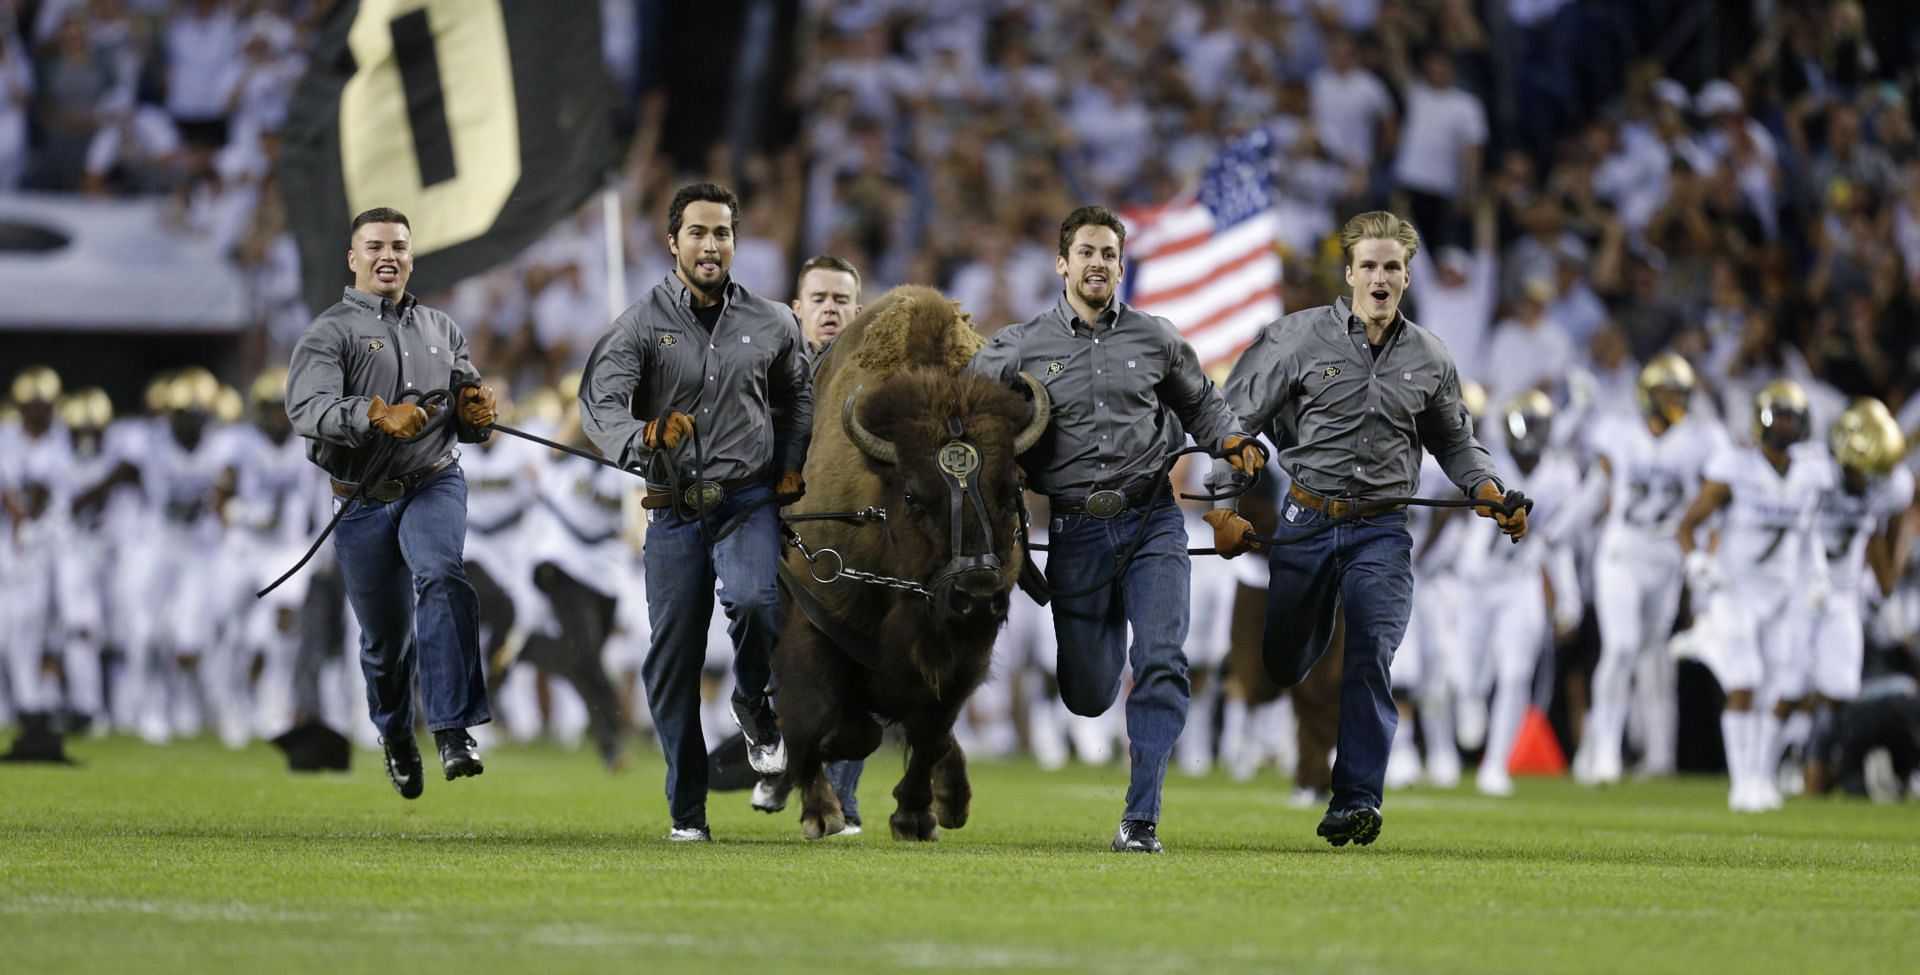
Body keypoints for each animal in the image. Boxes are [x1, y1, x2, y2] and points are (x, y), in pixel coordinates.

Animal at [771, 285, 1044, 840]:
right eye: (914, 496)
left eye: (1010, 491)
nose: (976, 595)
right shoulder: (815, 618)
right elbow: (828, 716)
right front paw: (821, 812)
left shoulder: (967, 652)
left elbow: (931, 730)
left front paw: (919, 815)